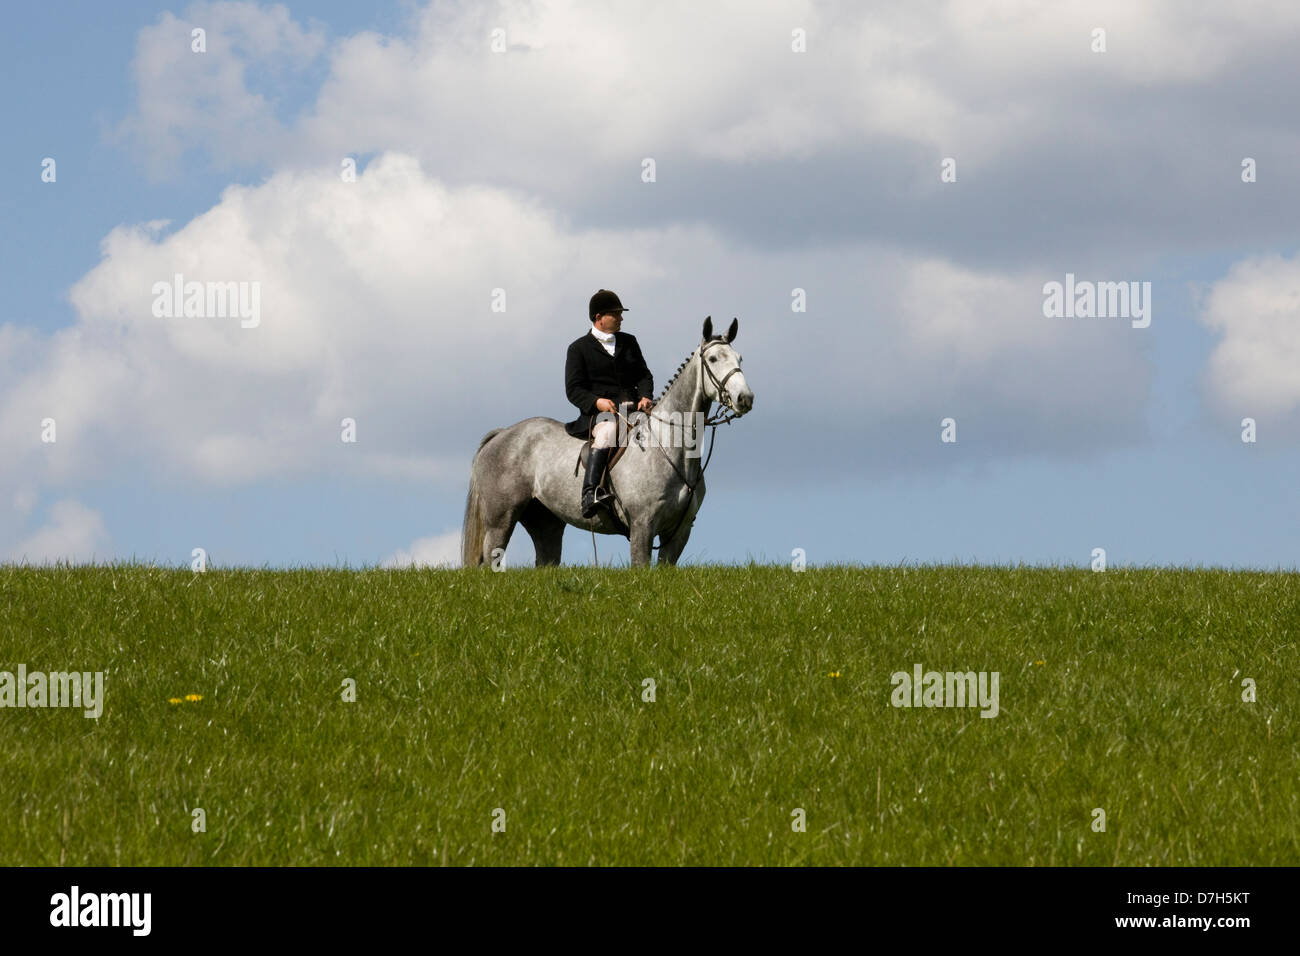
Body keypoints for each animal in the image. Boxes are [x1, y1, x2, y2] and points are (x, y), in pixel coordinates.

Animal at [462, 316, 753, 568]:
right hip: (500, 520)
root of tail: (503, 434)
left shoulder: (679, 533)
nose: (745, 398)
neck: (672, 450)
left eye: (739, 358)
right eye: (713, 358)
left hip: (546, 522)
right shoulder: (642, 526)